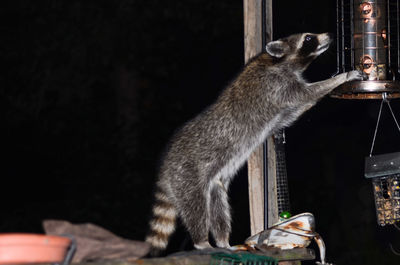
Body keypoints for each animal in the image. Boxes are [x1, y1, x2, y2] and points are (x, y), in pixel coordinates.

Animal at [145, 32, 364, 254]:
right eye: (309, 39)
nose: (328, 35)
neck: (278, 61)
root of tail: (166, 166)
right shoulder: (276, 85)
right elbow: (309, 93)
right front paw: (341, 78)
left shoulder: (281, 102)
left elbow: (296, 111)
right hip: (187, 175)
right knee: (196, 207)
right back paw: (201, 241)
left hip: (212, 183)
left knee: (219, 207)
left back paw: (223, 241)